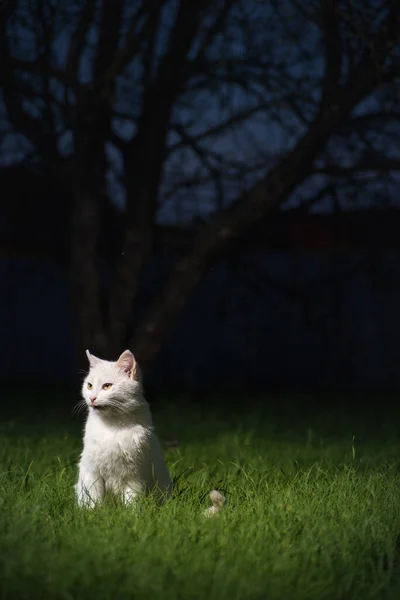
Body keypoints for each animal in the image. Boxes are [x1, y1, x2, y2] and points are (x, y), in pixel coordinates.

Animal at [75, 352, 225, 516]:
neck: (112, 427)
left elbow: (131, 502)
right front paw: (93, 515)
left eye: (107, 386)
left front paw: (131, 517)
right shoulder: (92, 472)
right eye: (89, 385)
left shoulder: (135, 476)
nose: (92, 398)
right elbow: (93, 500)